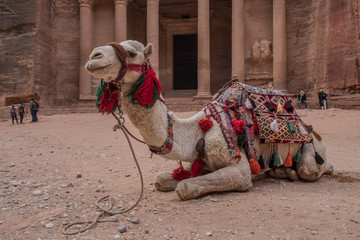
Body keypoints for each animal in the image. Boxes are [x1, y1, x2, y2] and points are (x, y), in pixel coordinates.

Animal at [84, 39, 332, 201]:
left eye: (131, 53)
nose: (93, 56)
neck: (198, 129)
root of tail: (308, 128)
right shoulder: (199, 160)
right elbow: (161, 179)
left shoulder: (240, 168)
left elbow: (184, 187)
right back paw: (280, 171)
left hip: (311, 148)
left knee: (311, 169)